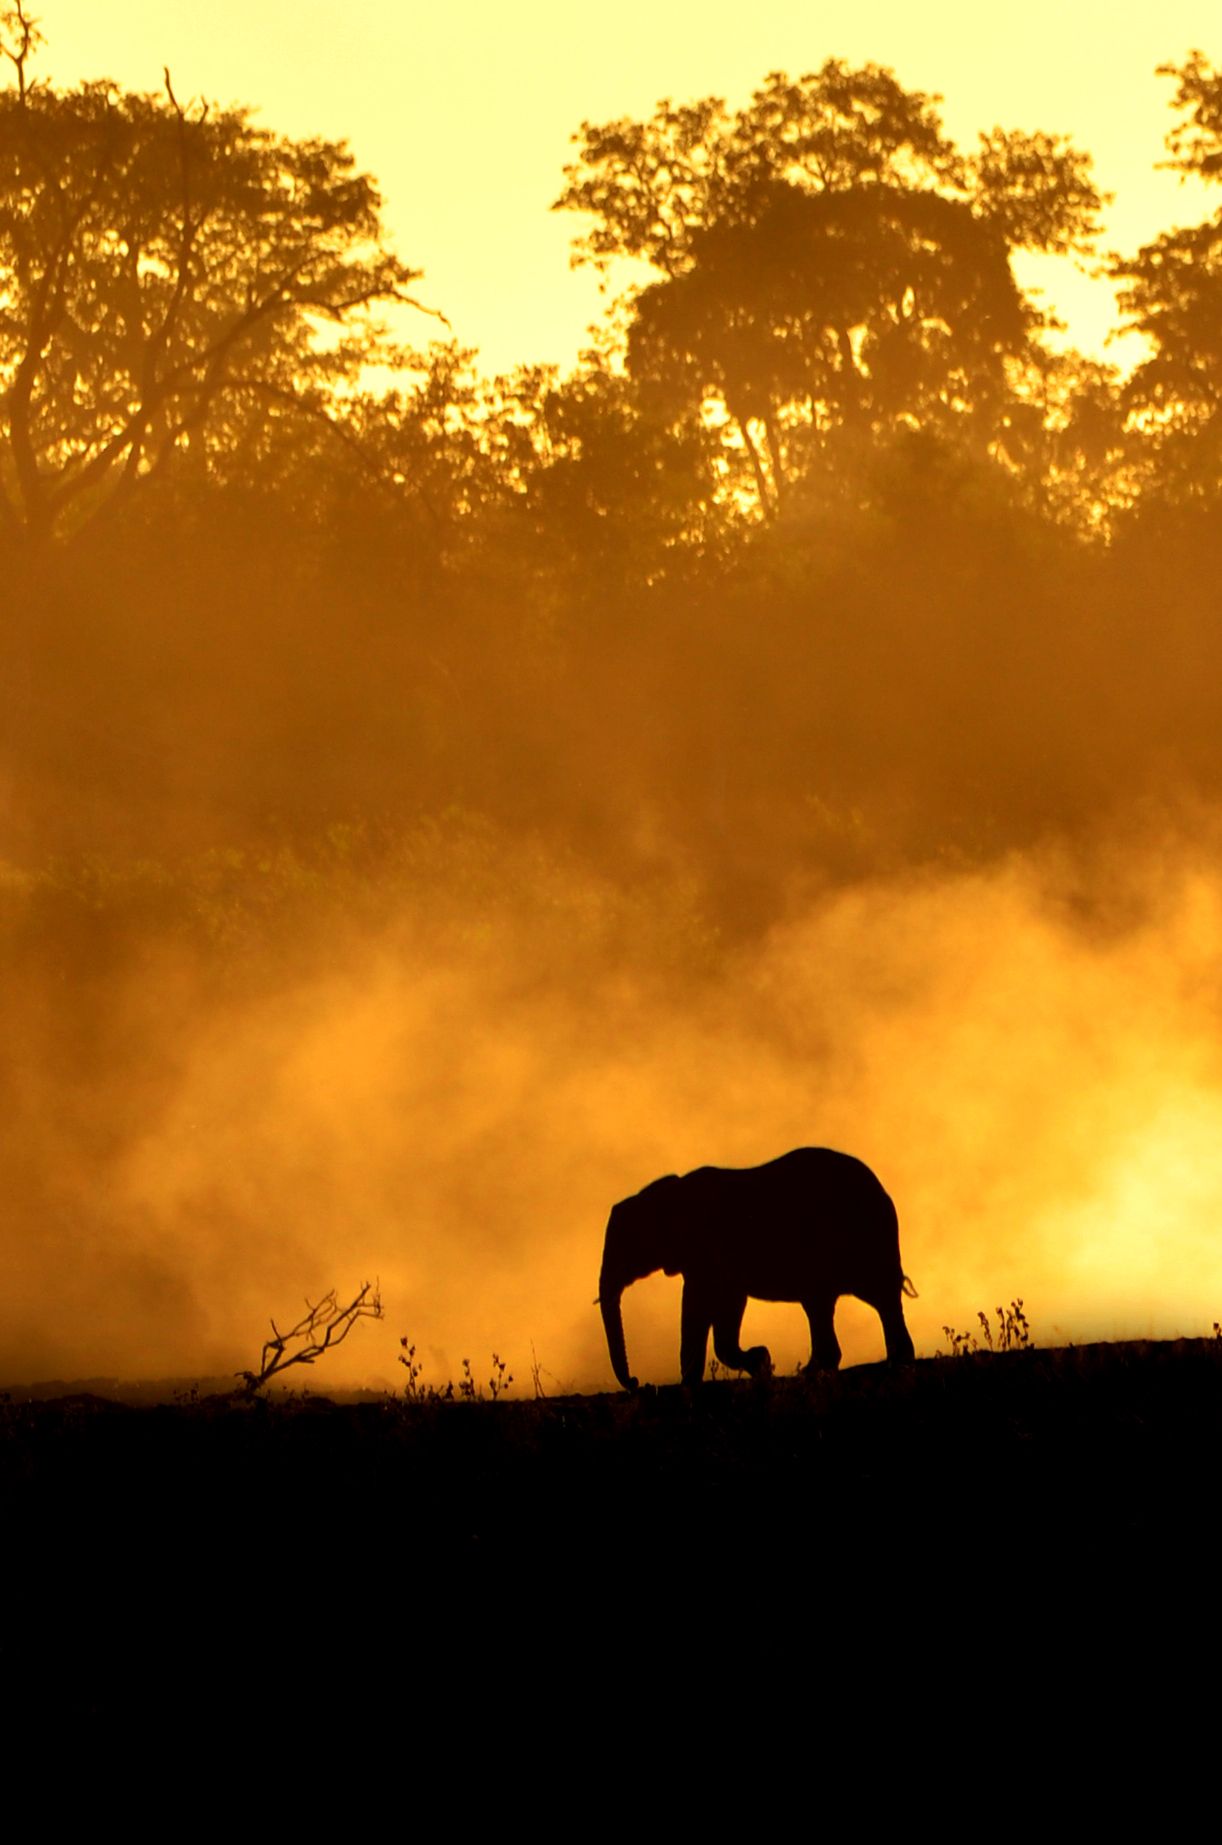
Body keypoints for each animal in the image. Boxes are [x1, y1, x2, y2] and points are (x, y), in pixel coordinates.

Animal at [597, 1146, 916, 1389]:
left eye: (625, 1245)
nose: (639, 1383)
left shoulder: (706, 1249)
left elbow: (700, 1303)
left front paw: (756, 1364)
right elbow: (724, 1305)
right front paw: (760, 1364)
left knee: (866, 1298)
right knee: (839, 1303)